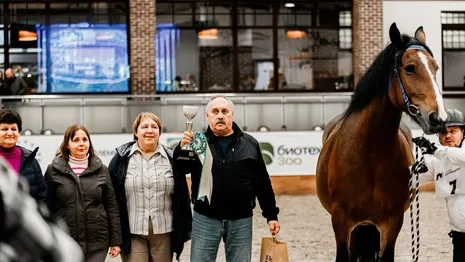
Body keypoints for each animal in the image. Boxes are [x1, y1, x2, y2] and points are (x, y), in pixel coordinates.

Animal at [316, 23, 446, 262]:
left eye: (435, 67)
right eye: (410, 68)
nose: (438, 118)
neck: (369, 154)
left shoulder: (392, 222)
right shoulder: (340, 221)